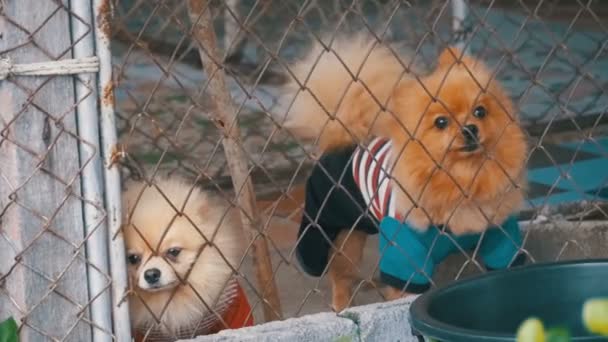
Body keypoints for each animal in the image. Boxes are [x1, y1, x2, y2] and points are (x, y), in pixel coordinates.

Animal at [280, 35, 528, 312]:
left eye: (480, 112)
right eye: (441, 123)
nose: (470, 129)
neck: (463, 178)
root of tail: (344, 139)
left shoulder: (501, 236)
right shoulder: (406, 251)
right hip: (340, 235)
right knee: (341, 277)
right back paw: (342, 305)